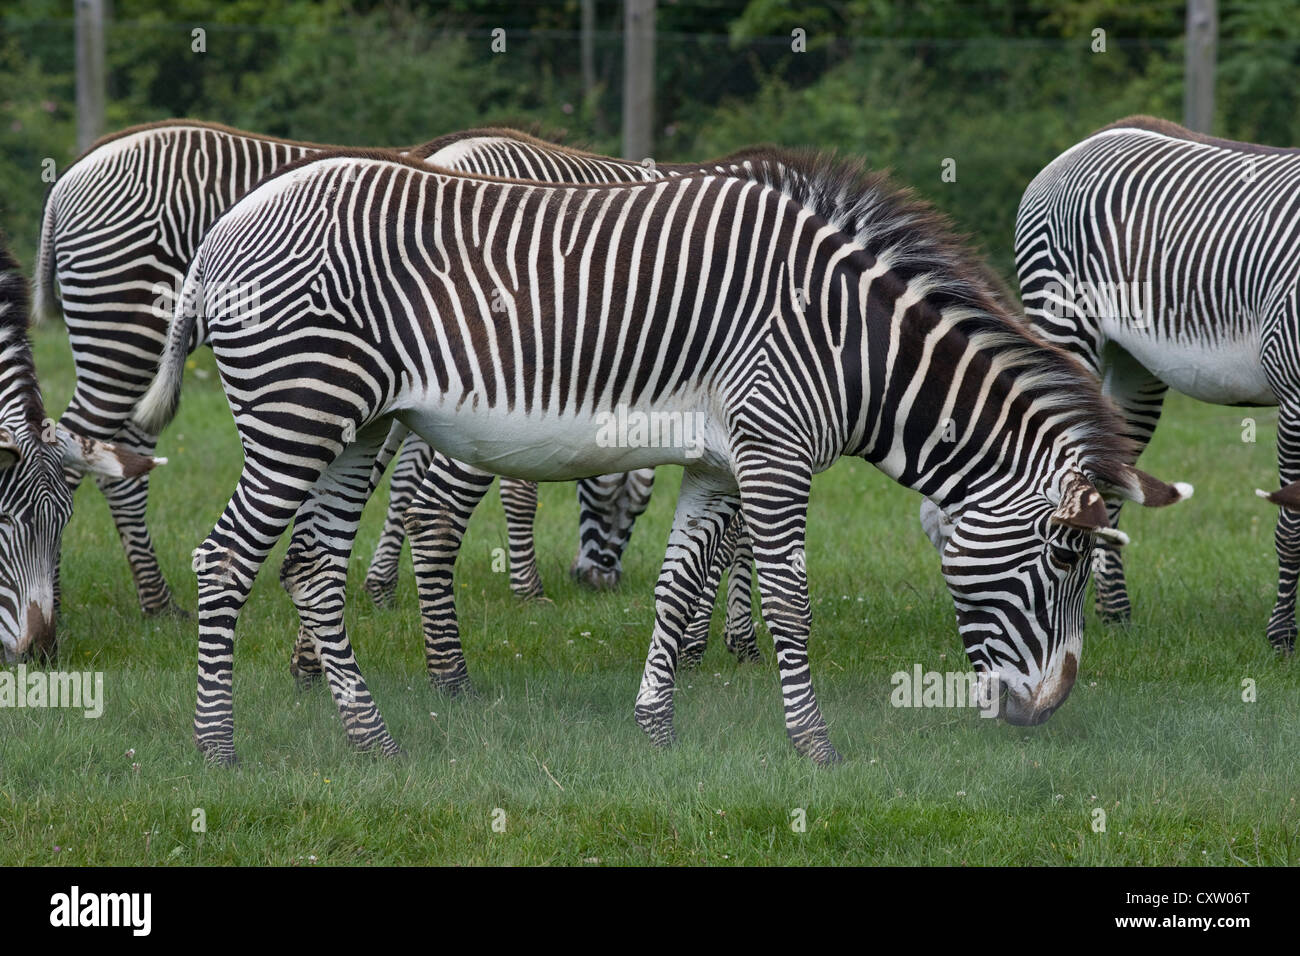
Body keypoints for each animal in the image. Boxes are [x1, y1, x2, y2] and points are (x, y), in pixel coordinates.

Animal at [131, 147, 1190, 770]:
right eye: (1064, 555)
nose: (1046, 712)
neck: (849, 340)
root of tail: (223, 232)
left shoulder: (720, 463)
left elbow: (679, 589)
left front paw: (655, 725)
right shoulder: (774, 452)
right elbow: (792, 600)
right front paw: (814, 747)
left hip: (353, 427)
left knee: (311, 569)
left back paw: (374, 741)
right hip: (300, 410)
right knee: (226, 559)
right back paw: (216, 748)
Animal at [1013, 113, 1300, 650]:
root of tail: (1096, 136)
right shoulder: (1294, 394)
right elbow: (1291, 523)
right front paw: (1282, 639)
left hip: (1133, 367)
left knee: (1105, 479)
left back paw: (1114, 616)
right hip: (1064, 323)